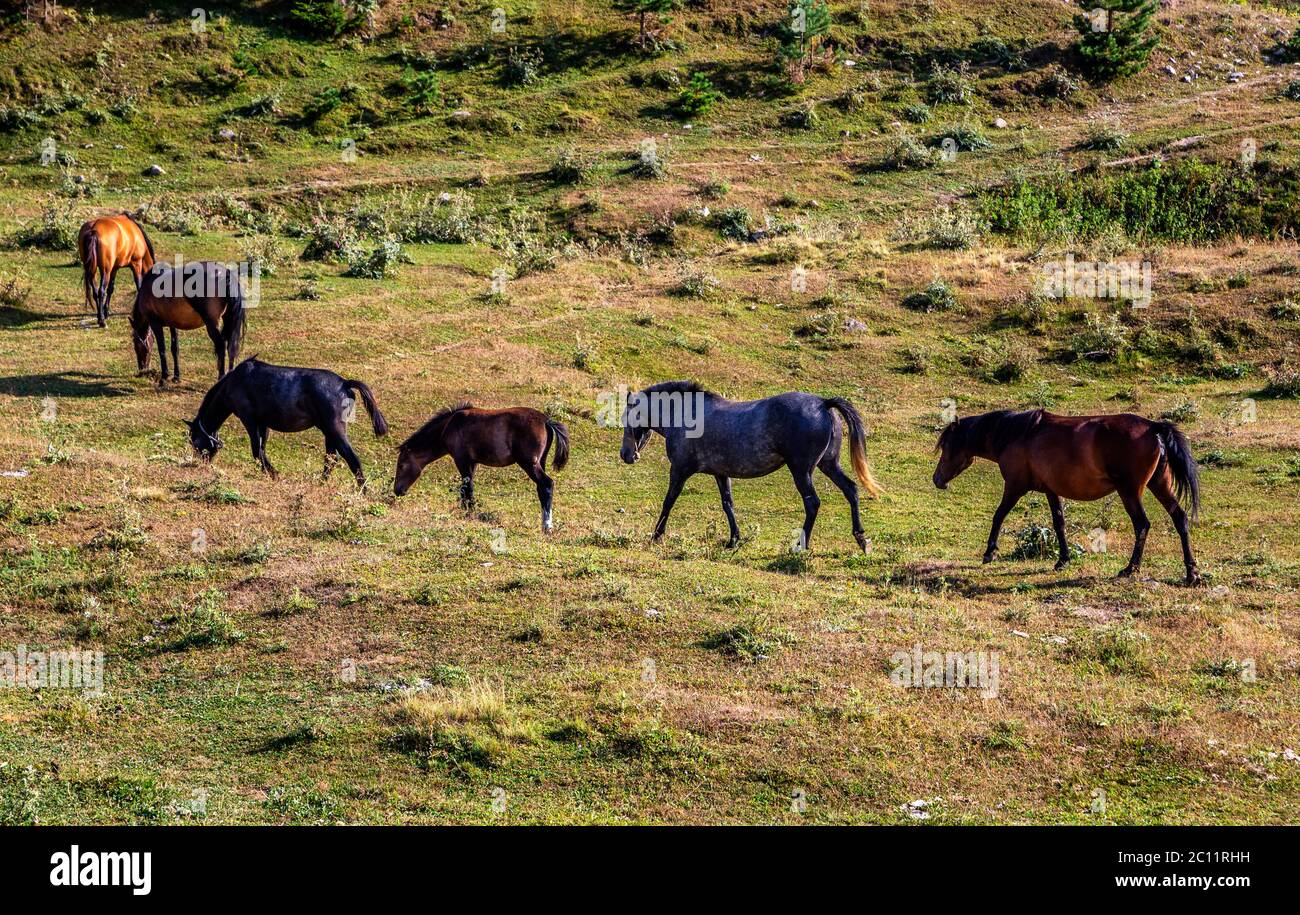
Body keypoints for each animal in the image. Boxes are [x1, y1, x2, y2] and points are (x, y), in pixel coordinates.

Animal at [185, 356, 384, 488]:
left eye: (194, 442)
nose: (203, 464)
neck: (234, 382)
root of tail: (344, 383)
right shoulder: (263, 424)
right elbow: (261, 449)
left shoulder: (249, 420)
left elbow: (256, 451)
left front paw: (273, 474)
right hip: (329, 432)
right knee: (331, 458)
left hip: (334, 429)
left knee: (352, 459)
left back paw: (362, 491)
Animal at [392, 405, 572, 532]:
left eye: (401, 465)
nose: (397, 490)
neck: (449, 425)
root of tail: (546, 421)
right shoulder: (472, 463)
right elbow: (466, 488)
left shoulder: (462, 460)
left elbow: (467, 487)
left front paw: (468, 512)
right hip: (540, 462)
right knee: (542, 489)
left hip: (529, 464)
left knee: (547, 485)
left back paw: (547, 526)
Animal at [618, 379, 883, 551]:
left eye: (627, 418)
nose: (626, 455)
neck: (686, 415)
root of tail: (823, 403)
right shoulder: (721, 474)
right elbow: (728, 505)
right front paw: (733, 540)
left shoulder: (680, 470)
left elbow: (668, 501)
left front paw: (656, 535)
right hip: (828, 464)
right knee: (851, 490)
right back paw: (862, 539)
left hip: (801, 470)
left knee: (813, 503)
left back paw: (801, 546)